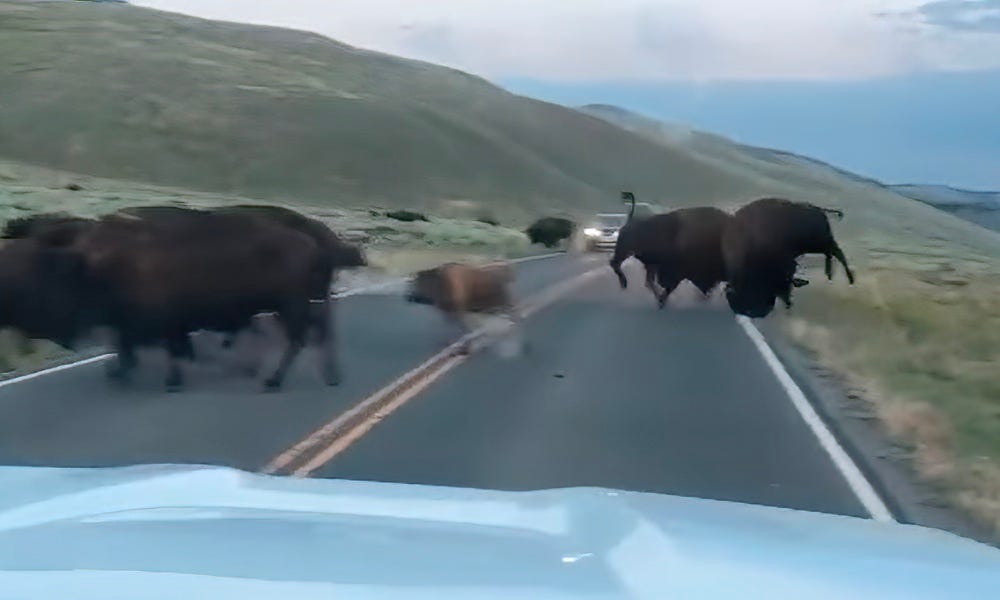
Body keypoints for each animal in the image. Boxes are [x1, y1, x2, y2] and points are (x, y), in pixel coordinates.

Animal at [604, 192, 732, 310]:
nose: (708, 291)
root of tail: (629, 221)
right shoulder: (676, 271)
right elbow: (670, 285)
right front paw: (662, 301)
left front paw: (661, 300)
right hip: (625, 252)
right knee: (615, 263)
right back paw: (624, 284)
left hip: (647, 262)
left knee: (647, 281)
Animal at [724, 197, 856, 318]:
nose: (750, 311)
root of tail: (817, 209)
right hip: (819, 245)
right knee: (831, 254)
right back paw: (830, 275)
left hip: (821, 243)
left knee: (838, 253)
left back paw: (848, 279)